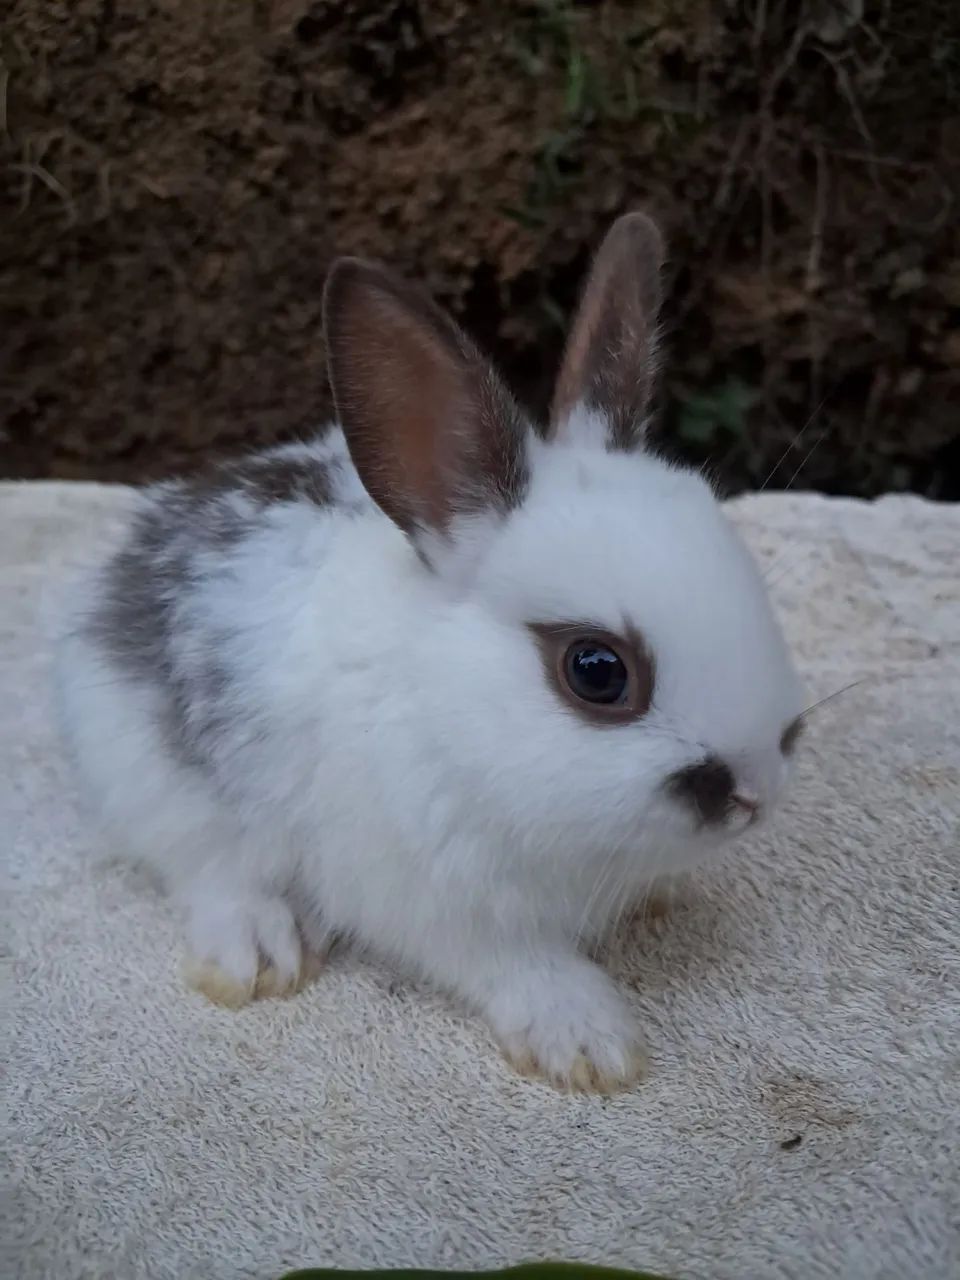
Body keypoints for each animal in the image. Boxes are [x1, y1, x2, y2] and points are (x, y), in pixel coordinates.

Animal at [56, 212, 805, 1092]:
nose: (753, 793)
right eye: (597, 671)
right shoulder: (429, 897)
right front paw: (591, 1043)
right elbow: (516, 963)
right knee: (204, 865)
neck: (447, 707)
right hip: (148, 770)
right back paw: (258, 951)